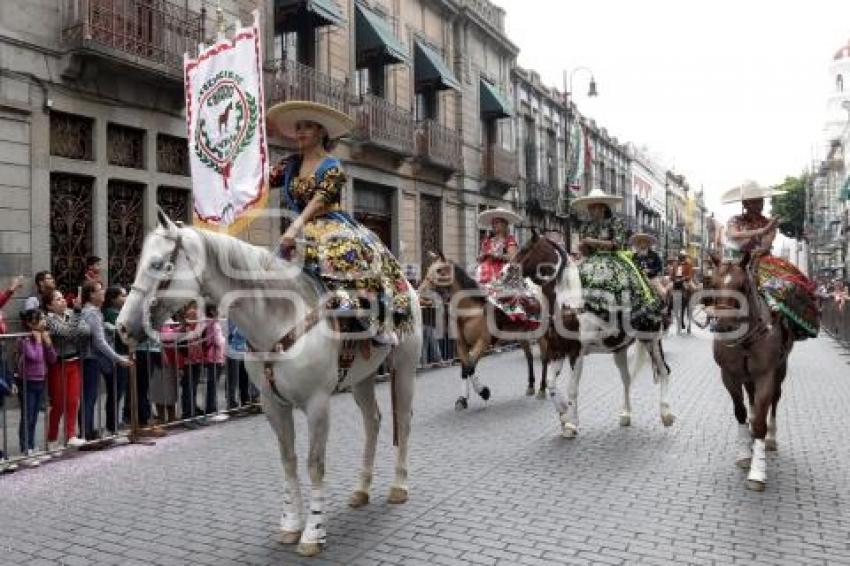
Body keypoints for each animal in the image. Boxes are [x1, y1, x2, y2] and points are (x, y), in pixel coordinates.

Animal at [117, 210, 422, 560]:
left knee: (403, 421)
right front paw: (290, 525)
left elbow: (314, 464)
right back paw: (361, 490)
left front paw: (313, 533)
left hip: (405, 366)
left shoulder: (317, 403)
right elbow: (288, 461)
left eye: (158, 264)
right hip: (363, 378)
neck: (278, 318)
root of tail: (407, 286)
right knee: (373, 422)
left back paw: (399, 487)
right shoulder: (272, 404)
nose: (122, 328)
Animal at [416, 252, 544, 408]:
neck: (469, 311)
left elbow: (470, 366)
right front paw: (463, 399)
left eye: (439, 270)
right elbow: (466, 368)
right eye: (429, 268)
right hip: (521, 334)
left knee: (545, 359)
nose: (420, 291)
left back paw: (543, 389)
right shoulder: (462, 345)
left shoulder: (483, 342)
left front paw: (484, 392)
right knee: (529, 357)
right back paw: (531, 386)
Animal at [704, 253, 792, 492]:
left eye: (742, 286)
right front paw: (744, 454)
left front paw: (757, 472)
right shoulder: (729, 376)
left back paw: (770, 439)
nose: (723, 325)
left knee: (774, 401)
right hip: (747, 379)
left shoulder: (765, 376)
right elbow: (741, 412)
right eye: (712, 283)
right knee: (751, 401)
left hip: (780, 371)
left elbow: (761, 420)